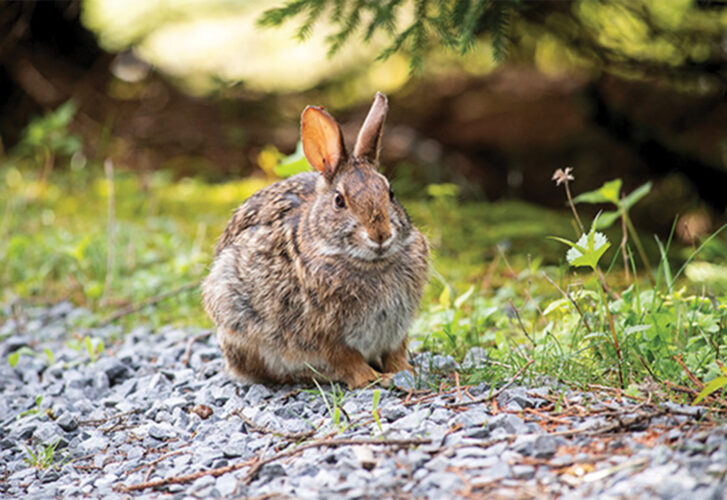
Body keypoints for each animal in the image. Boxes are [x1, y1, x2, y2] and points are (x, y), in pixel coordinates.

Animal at [202, 92, 429, 388]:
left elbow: (396, 352)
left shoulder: (395, 329)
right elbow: (347, 360)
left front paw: (405, 371)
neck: (371, 263)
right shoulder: (325, 334)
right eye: (339, 201)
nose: (380, 235)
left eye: (390, 193)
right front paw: (374, 379)